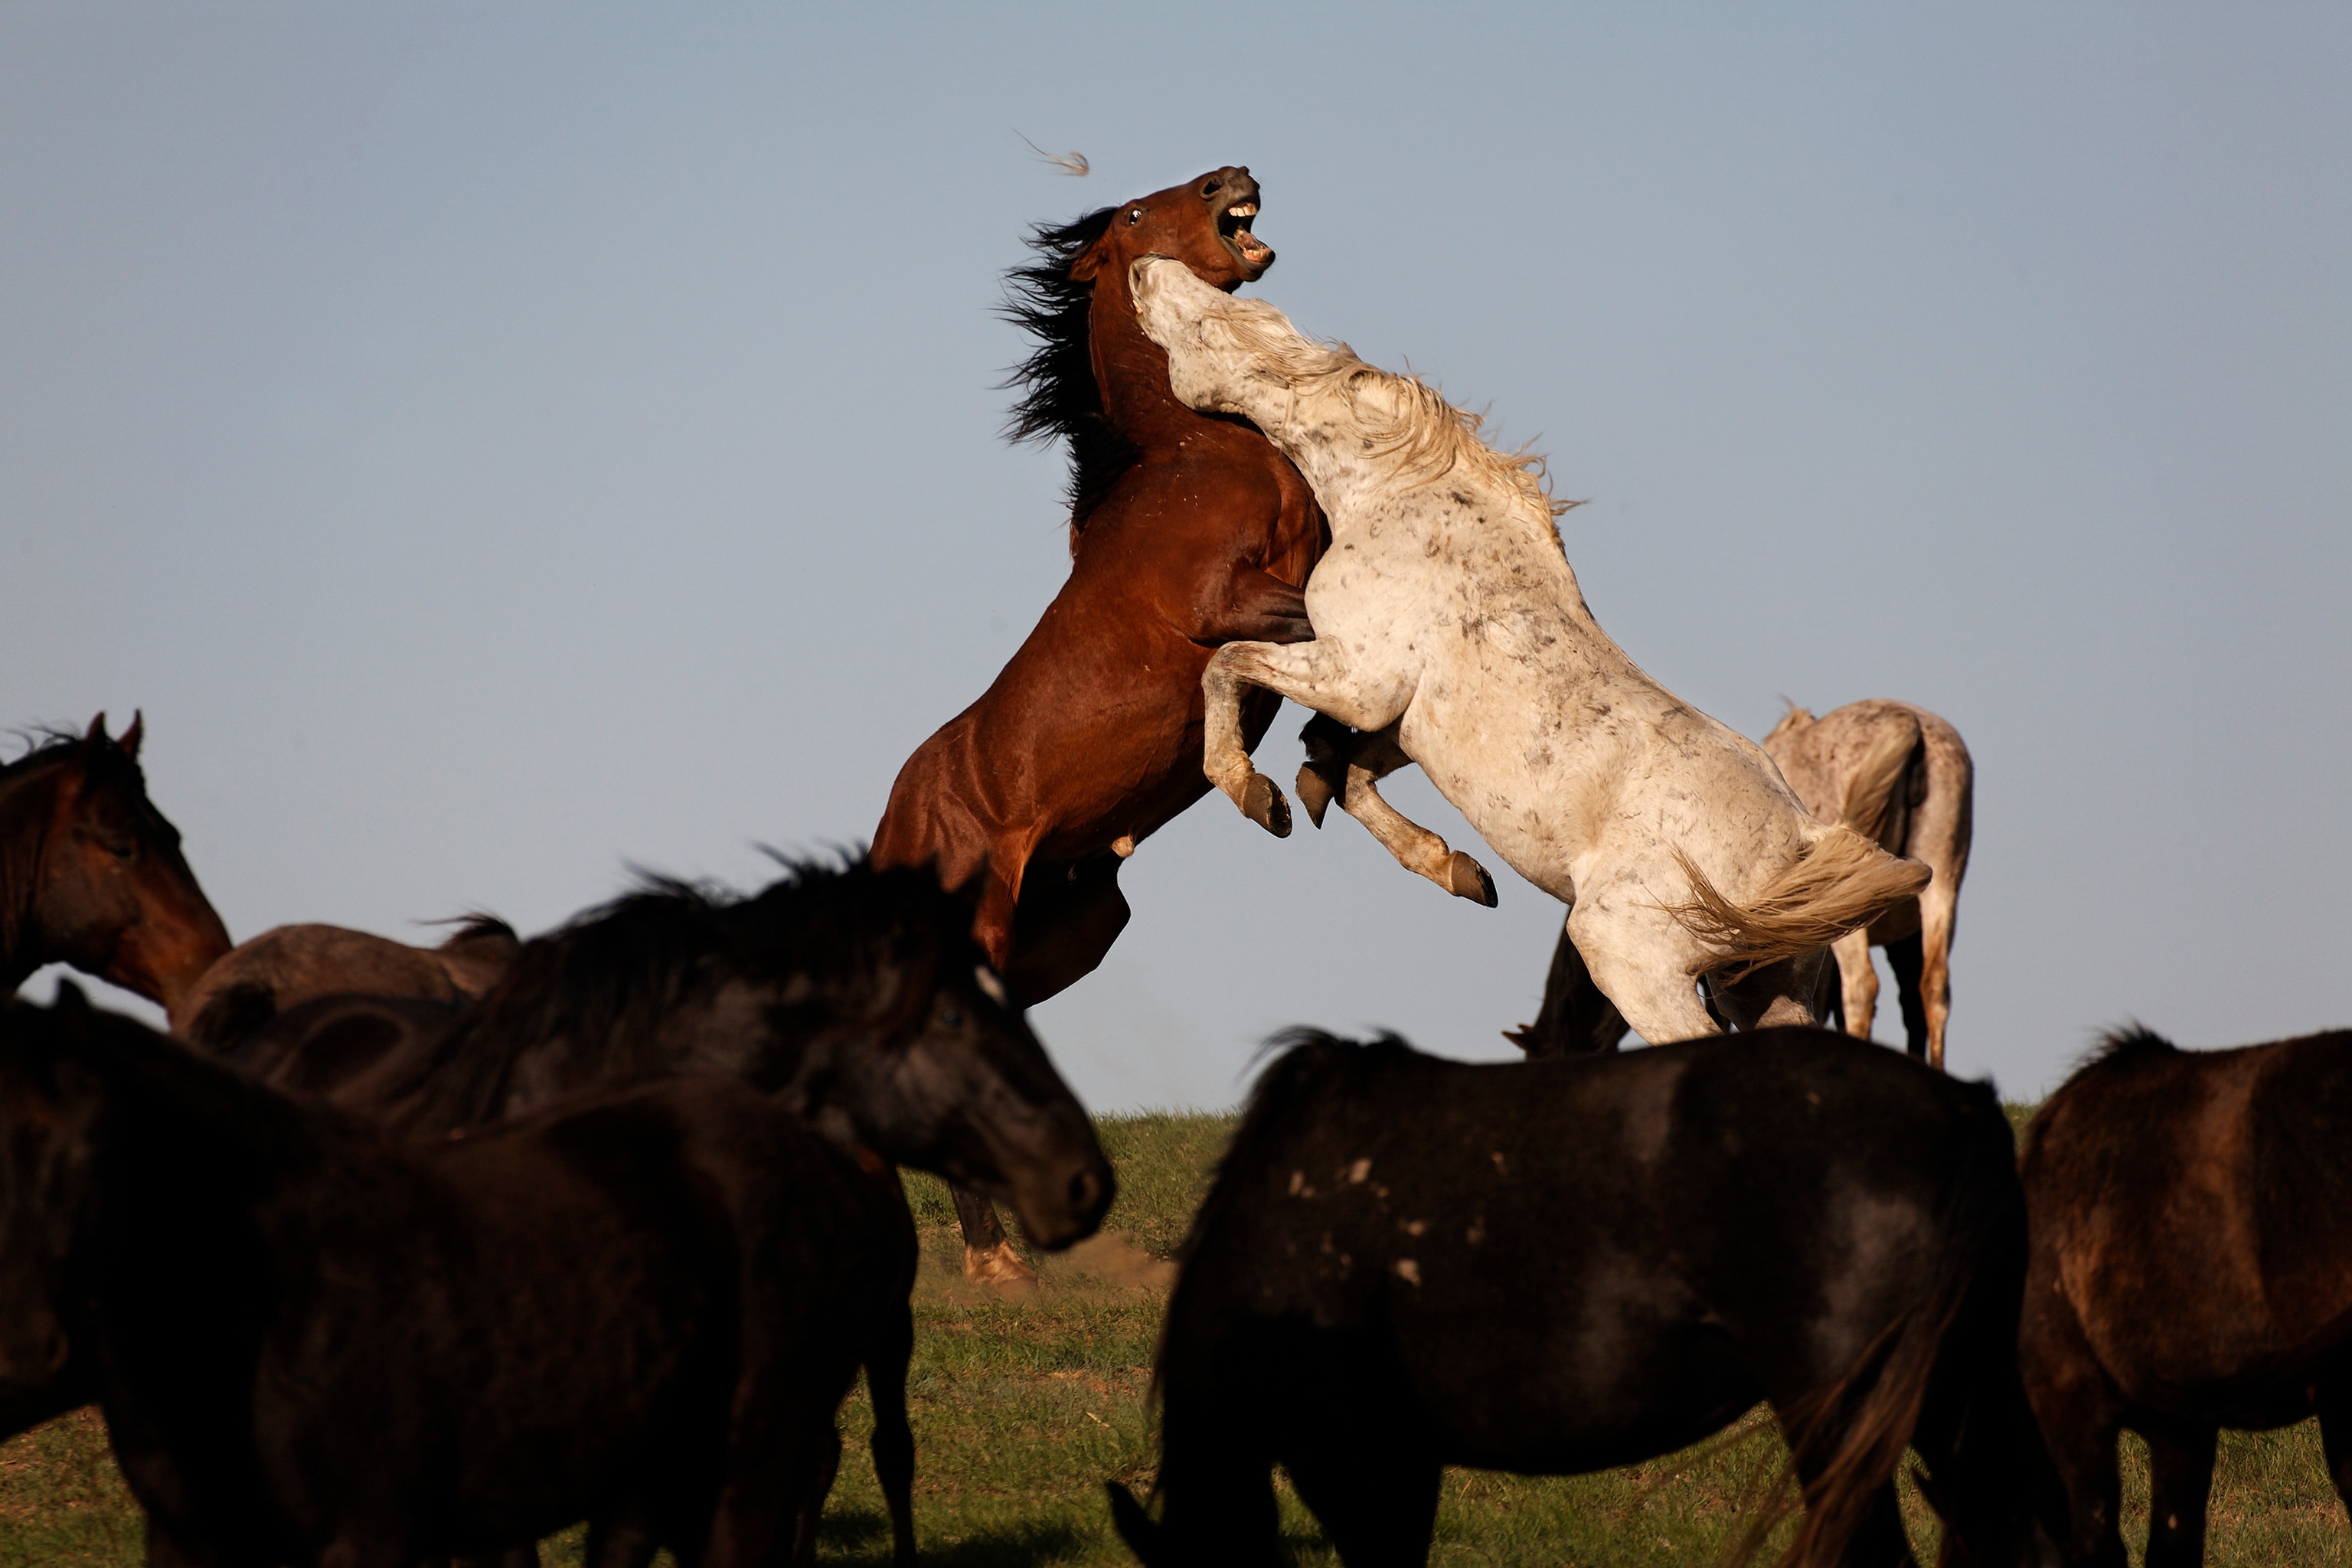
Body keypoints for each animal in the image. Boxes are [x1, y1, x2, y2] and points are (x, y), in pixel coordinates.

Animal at [873, 166, 1325, 1281]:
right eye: (1132, 214)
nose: (1233, 178)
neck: (1189, 451)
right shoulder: (1227, 600)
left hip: (1074, 928)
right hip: (983, 927)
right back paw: (996, 1264)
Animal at [1129, 258, 1928, 1042]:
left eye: (1210, 324)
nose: (1143, 269)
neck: (1399, 498)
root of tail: (1801, 837)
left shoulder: (1357, 680)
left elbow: (1227, 667)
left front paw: (1250, 791)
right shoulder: (1404, 726)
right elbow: (1347, 774)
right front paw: (1458, 870)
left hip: (1628, 959)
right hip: (1765, 989)